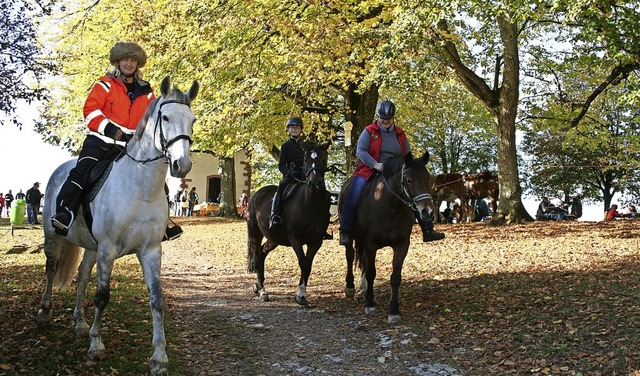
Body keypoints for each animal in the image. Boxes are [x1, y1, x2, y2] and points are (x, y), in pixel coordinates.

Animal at [35, 77, 198, 376]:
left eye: (192, 120)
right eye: (166, 117)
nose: (182, 165)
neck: (140, 188)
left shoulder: (150, 251)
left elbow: (157, 299)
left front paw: (159, 357)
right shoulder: (108, 250)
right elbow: (102, 296)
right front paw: (96, 345)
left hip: (91, 248)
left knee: (82, 277)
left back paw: (79, 323)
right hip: (54, 237)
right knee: (51, 269)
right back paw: (44, 312)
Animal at [246, 141, 330, 306]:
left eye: (323, 159)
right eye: (305, 160)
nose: (315, 184)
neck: (310, 204)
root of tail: (256, 195)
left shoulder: (316, 241)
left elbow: (308, 265)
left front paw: (302, 294)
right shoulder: (295, 239)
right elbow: (303, 262)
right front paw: (300, 295)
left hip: (274, 238)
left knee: (262, 252)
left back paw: (259, 286)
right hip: (255, 233)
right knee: (257, 254)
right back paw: (262, 291)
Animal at [338, 152, 438, 324]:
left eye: (428, 178)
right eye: (409, 180)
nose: (427, 212)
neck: (390, 206)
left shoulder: (402, 244)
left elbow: (395, 277)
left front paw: (393, 310)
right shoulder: (370, 244)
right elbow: (371, 273)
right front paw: (370, 304)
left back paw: (364, 290)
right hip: (351, 238)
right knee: (350, 256)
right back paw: (350, 287)